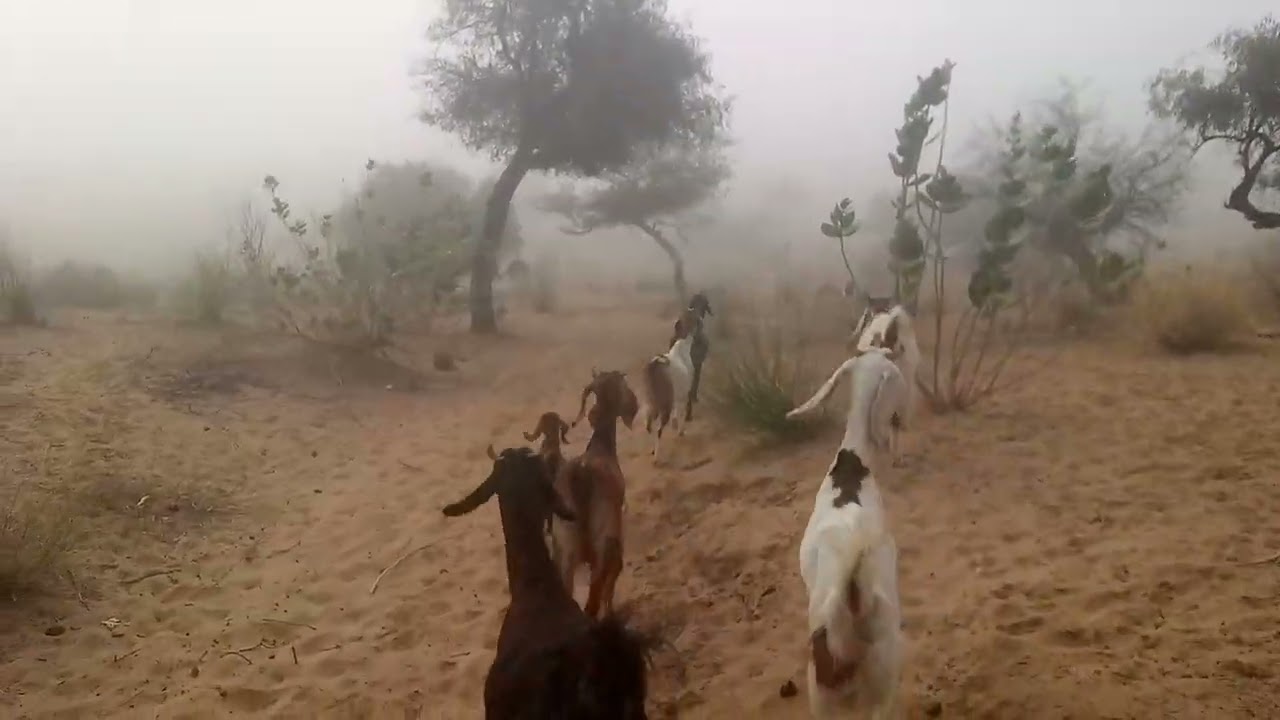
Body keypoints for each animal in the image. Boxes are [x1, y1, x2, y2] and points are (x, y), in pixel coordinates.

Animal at [646, 308, 697, 464]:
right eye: (691, 315)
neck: (682, 345)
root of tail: (655, 365)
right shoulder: (684, 393)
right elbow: (681, 412)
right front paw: (681, 431)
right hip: (664, 405)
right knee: (658, 430)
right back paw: (657, 458)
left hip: (652, 403)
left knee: (648, 426)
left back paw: (652, 451)